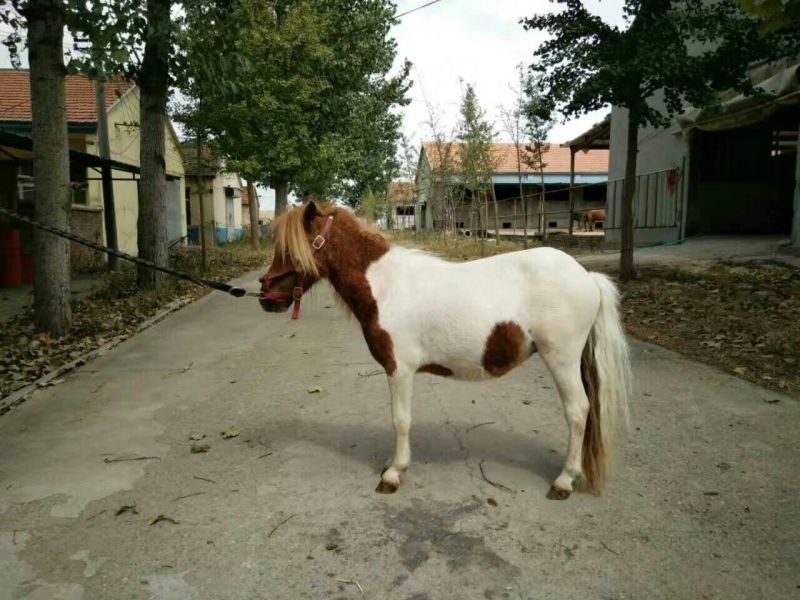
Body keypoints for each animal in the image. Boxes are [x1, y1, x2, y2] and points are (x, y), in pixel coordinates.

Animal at [259, 202, 631, 500]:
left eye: (289, 249)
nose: (266, 297)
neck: (385, 286)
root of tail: (586, 276)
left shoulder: (399, 369)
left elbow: (401, 420)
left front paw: (394, 473)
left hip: (561, 360)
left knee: (578, 411)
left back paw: (564, 481)